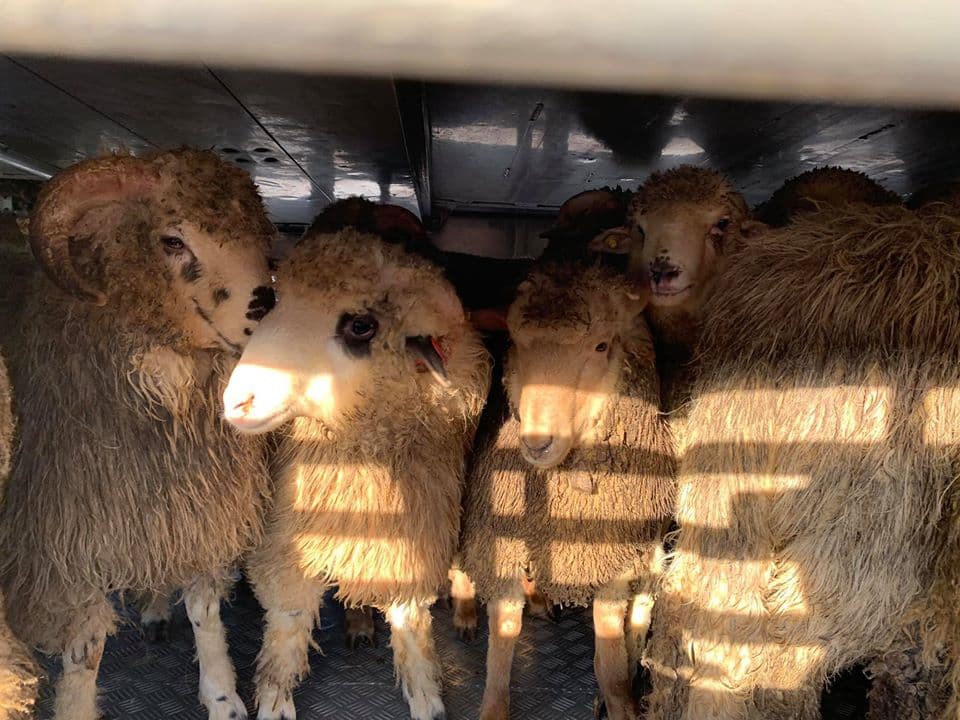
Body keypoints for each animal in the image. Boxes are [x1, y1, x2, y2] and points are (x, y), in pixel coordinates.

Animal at [0, 149, 277, 720]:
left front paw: (222, 696)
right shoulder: (69, 541)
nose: (268, 309)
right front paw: (76, 709)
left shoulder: (194, 508)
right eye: (171, 240)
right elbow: (84, 648)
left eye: (259, 236)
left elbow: (204, 608)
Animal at [221, 226, 491, 720]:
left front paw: (426, 697)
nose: (238, 401)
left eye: (361, 325)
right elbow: (288, 619)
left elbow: (411, 628)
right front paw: (274, 697)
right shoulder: (292, 534)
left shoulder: (411, 536)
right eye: (277, 298)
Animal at [459, 262, 676, 720]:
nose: (537, 442)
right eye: (517, 344)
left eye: (601, 346)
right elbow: (503, 637)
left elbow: (611, 652)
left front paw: (619, 703)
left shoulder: (613, 563)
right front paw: (493, 707)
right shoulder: (501, 542)